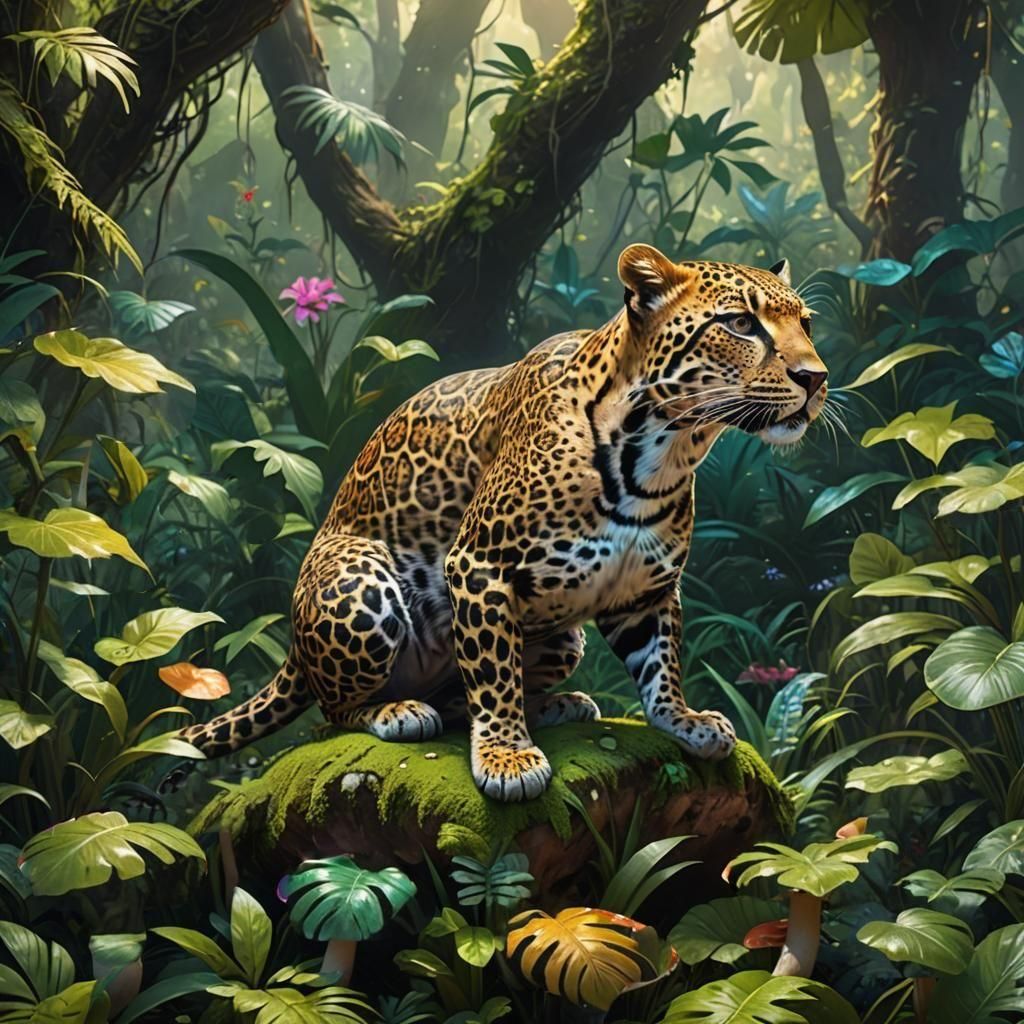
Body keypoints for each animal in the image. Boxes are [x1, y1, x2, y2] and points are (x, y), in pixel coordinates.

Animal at [180, 244, 828, 802]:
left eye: (806, 325)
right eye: (741, 324)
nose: (815, 377)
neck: (662, 453)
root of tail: (292, 646)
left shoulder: (647, 592)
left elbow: (661, 664)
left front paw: (686, 720)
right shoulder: (478, 567)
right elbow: (492, 670)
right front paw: (507, 757)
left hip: (564, 637)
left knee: (460, 700)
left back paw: (560, 704)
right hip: (359, 580)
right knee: (335, 712)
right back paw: (397, 712)